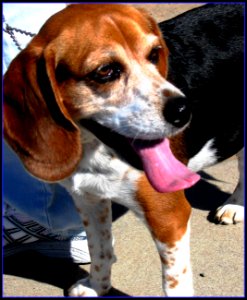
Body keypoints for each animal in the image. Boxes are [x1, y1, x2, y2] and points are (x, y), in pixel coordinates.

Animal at [2, 3, 244, 296]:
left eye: (154, 54)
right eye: (105, 71)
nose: (184, 111)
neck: (96, 149)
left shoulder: (168, 217)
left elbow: (173, 284)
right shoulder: (89, 200)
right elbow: (100, 252)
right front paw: (97, 287)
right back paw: (236, 205)